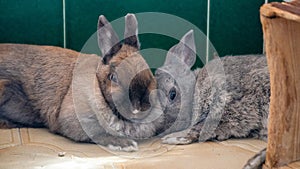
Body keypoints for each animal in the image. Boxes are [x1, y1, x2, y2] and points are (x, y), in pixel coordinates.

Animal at [156, 30, 270, 168]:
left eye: (172, 94)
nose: (161, 129)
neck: (195, 89)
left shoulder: (224, 104)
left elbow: (200, 127)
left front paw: (172, 138)